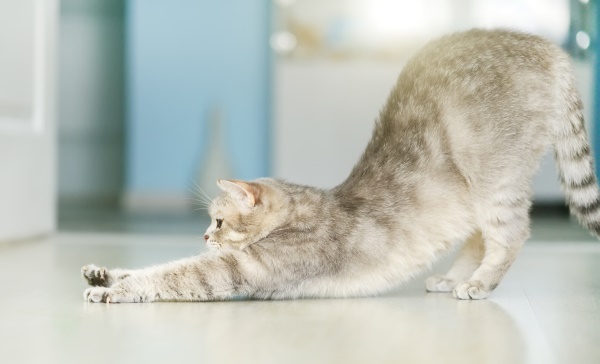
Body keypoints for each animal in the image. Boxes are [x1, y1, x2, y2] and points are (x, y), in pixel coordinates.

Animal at [82, 28, 596, 302]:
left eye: (219, 221)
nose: (205, 237)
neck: (301, 209)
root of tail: (550, 49)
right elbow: (157, 266)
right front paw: (106, 273)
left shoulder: (242, 268)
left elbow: (173, 274)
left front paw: (112, 290)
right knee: (477, 237)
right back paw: (455, 277)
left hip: (493, 177)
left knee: (511, 234)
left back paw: (479, 283)